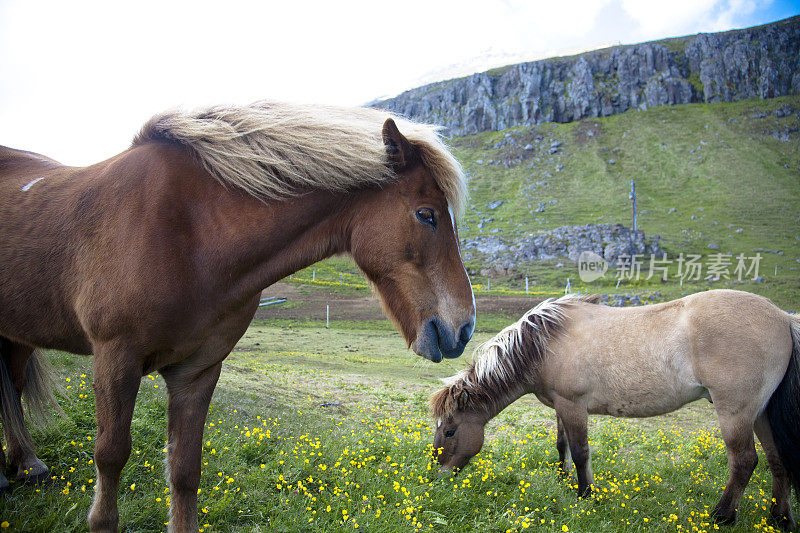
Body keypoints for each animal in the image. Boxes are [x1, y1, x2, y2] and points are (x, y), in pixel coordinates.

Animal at [0, 102, 476, 528]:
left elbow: (185, 470)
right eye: (427, 215)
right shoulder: (115, 360)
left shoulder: (196, 372)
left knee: (14, 386)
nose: (465, 326)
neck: (190, 234)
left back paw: (25, 466)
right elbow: (110, 456)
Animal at [432, 288, 800, 528]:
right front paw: (565, 480)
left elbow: (581, 451)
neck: (544, 343)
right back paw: (779, 518)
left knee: (744, 461)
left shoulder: (573, 406)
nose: (440, 476)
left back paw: (722, 516)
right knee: (777, 461)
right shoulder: (561, 407)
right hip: (761, 414)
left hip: (735, 412)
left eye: (449, 430)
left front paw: (586, 495)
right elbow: (562, 445)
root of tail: (783, 317)